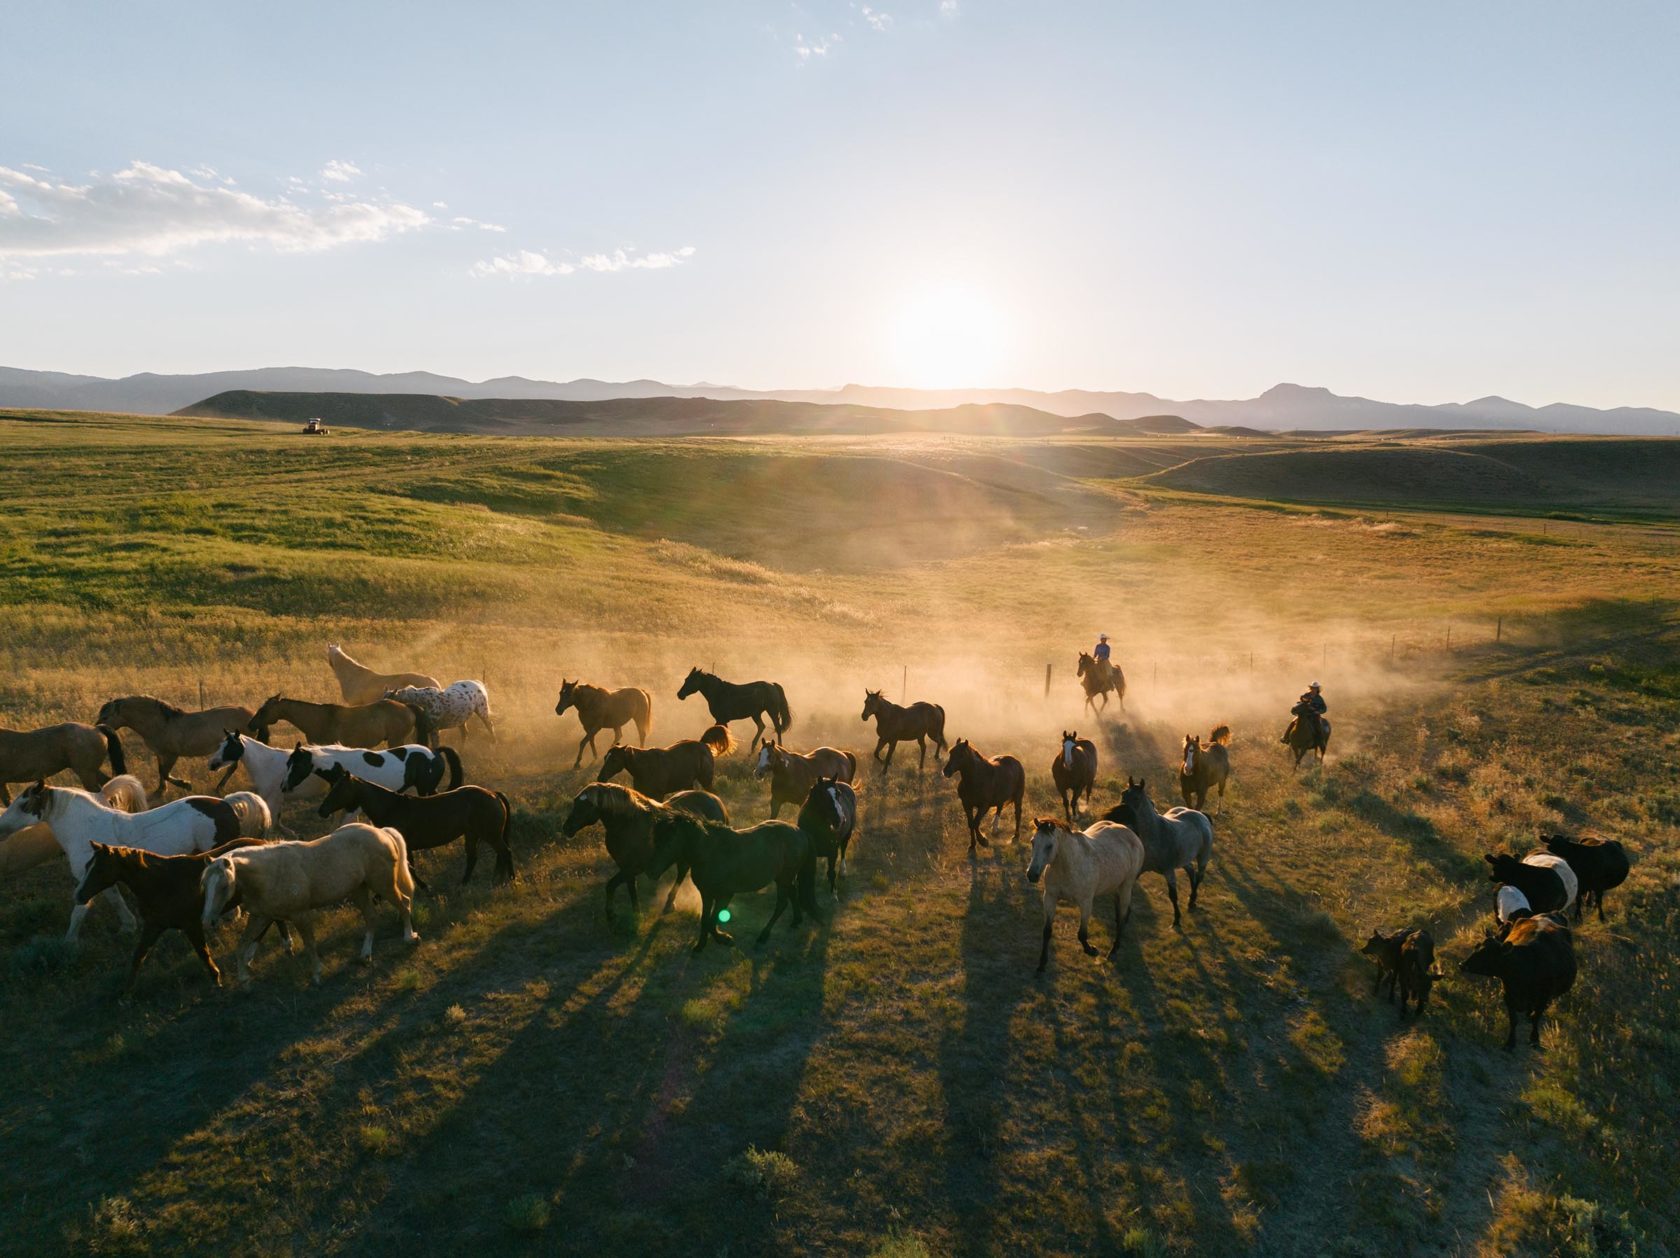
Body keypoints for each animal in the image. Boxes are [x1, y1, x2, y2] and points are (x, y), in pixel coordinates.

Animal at [0, 779, 240, 940]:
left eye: (23, 805)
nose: (1, 828)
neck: (85, 828)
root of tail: (227, 805)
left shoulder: (89, 878)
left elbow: (80, 910)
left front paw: (69, 943)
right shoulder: (101, 879)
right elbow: (114, 900)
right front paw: (128, 927)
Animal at [97, 695, 262, 796]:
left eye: (105, 717)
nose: (98, 730)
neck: (161, 724)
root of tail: (251, 716)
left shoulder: (172, 755)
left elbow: (165, 773)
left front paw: (186, 785)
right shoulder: (160, 753)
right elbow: (160, 771)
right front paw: (160, 791)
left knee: (232, 767)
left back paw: (218, 788)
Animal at [1014, 816, 1149, 974]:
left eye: (1049, 846)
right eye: (1032, 842)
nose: (1032, 875)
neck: (1068, 867)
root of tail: (1131, 833)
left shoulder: (1086, 903)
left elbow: (1081, 934)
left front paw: (1092, 951)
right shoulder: (1050, 898)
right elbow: (1047, 931)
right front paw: (1041, 965)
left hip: (1126, 887)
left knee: (1122, 916)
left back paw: (1114, 951)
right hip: (1116, 887)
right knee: (1120, 914)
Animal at [1102, 769, 1209, 927]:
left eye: (1136, 798)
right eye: (1123, 794)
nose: (1113, 817)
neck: (1156, 834)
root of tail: (1200, 815)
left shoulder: (1169, 871)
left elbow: (1173, 895)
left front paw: (1176, 920)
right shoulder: (1138, 871)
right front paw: (1124, 918)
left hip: (1203, 857)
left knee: (1199, 875)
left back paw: (1192, 901)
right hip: (1184, 859)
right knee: (1191, 871)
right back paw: (1191, 900)